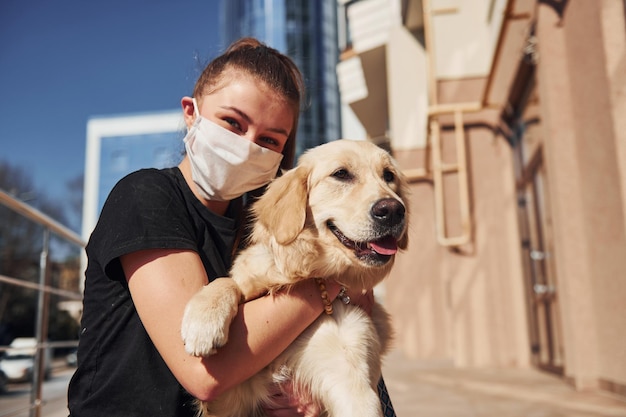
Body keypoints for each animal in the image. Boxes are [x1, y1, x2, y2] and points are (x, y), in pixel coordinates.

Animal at [179, 138, 410, 414]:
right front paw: (203, 325)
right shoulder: (227, 394)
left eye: (389, 176)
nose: (394, 210)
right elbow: (227, 282)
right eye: (341, 174)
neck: (305, 273)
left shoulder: (355, 381)